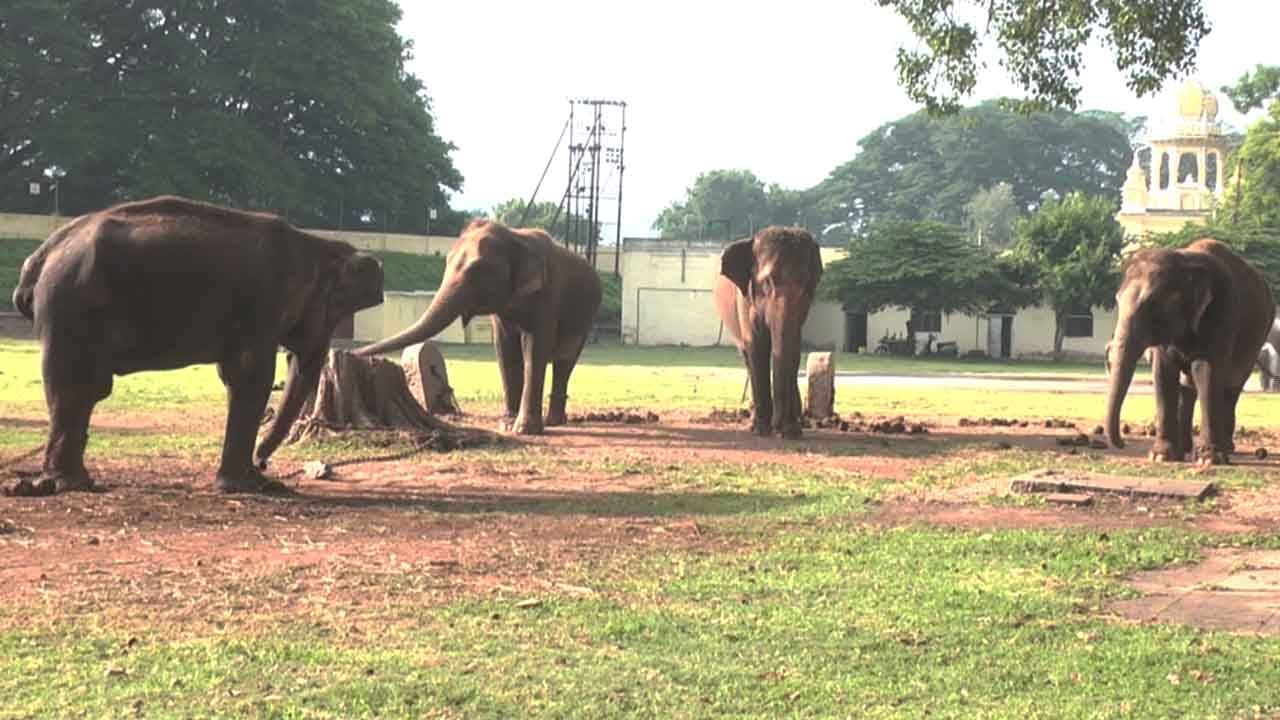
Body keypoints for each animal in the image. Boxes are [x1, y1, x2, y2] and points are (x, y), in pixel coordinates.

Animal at [11, 194, 384, 491]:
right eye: (333, 312)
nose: (264, 462)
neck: (313, 243)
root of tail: (38, 257)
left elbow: (235, 377)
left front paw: (252, 481)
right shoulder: (261, 302)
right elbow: (251, 376)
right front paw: (250, 486)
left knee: (85, 390)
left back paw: (75, 482)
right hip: (70, 307)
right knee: (76, 386)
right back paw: (68, 484)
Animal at [353, 217, 601, 430]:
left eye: (477, 270)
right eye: (446, 262)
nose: (354, 353)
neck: (515, 236)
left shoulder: (548, 294)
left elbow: (534, 347)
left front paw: (523, 430)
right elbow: (504, 349)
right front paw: (507, 424)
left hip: (586, 319)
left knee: (565, 362)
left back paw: (554, 422)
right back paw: (552, 422)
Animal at [711, 224, 819, 438]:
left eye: (806, 284)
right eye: (768, 281)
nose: (779, 427)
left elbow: (793, 347)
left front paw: (791, 430)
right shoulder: (745, 299)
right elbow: (757, 345)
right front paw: (761, 430)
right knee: (747, 356)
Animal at [1105, 237, 1274, 466]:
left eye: (1153, 304)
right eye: (1117, 300)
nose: (1122, 443)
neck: (1184, 260)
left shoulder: (1222, 311)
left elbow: (1206, 371)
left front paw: (1209, 459)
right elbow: (1163, 373)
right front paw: (1161, 456)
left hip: (1256, 339)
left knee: (1231, 387)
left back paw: (1226, 448)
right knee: (1188, 389)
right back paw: (1185, 448)